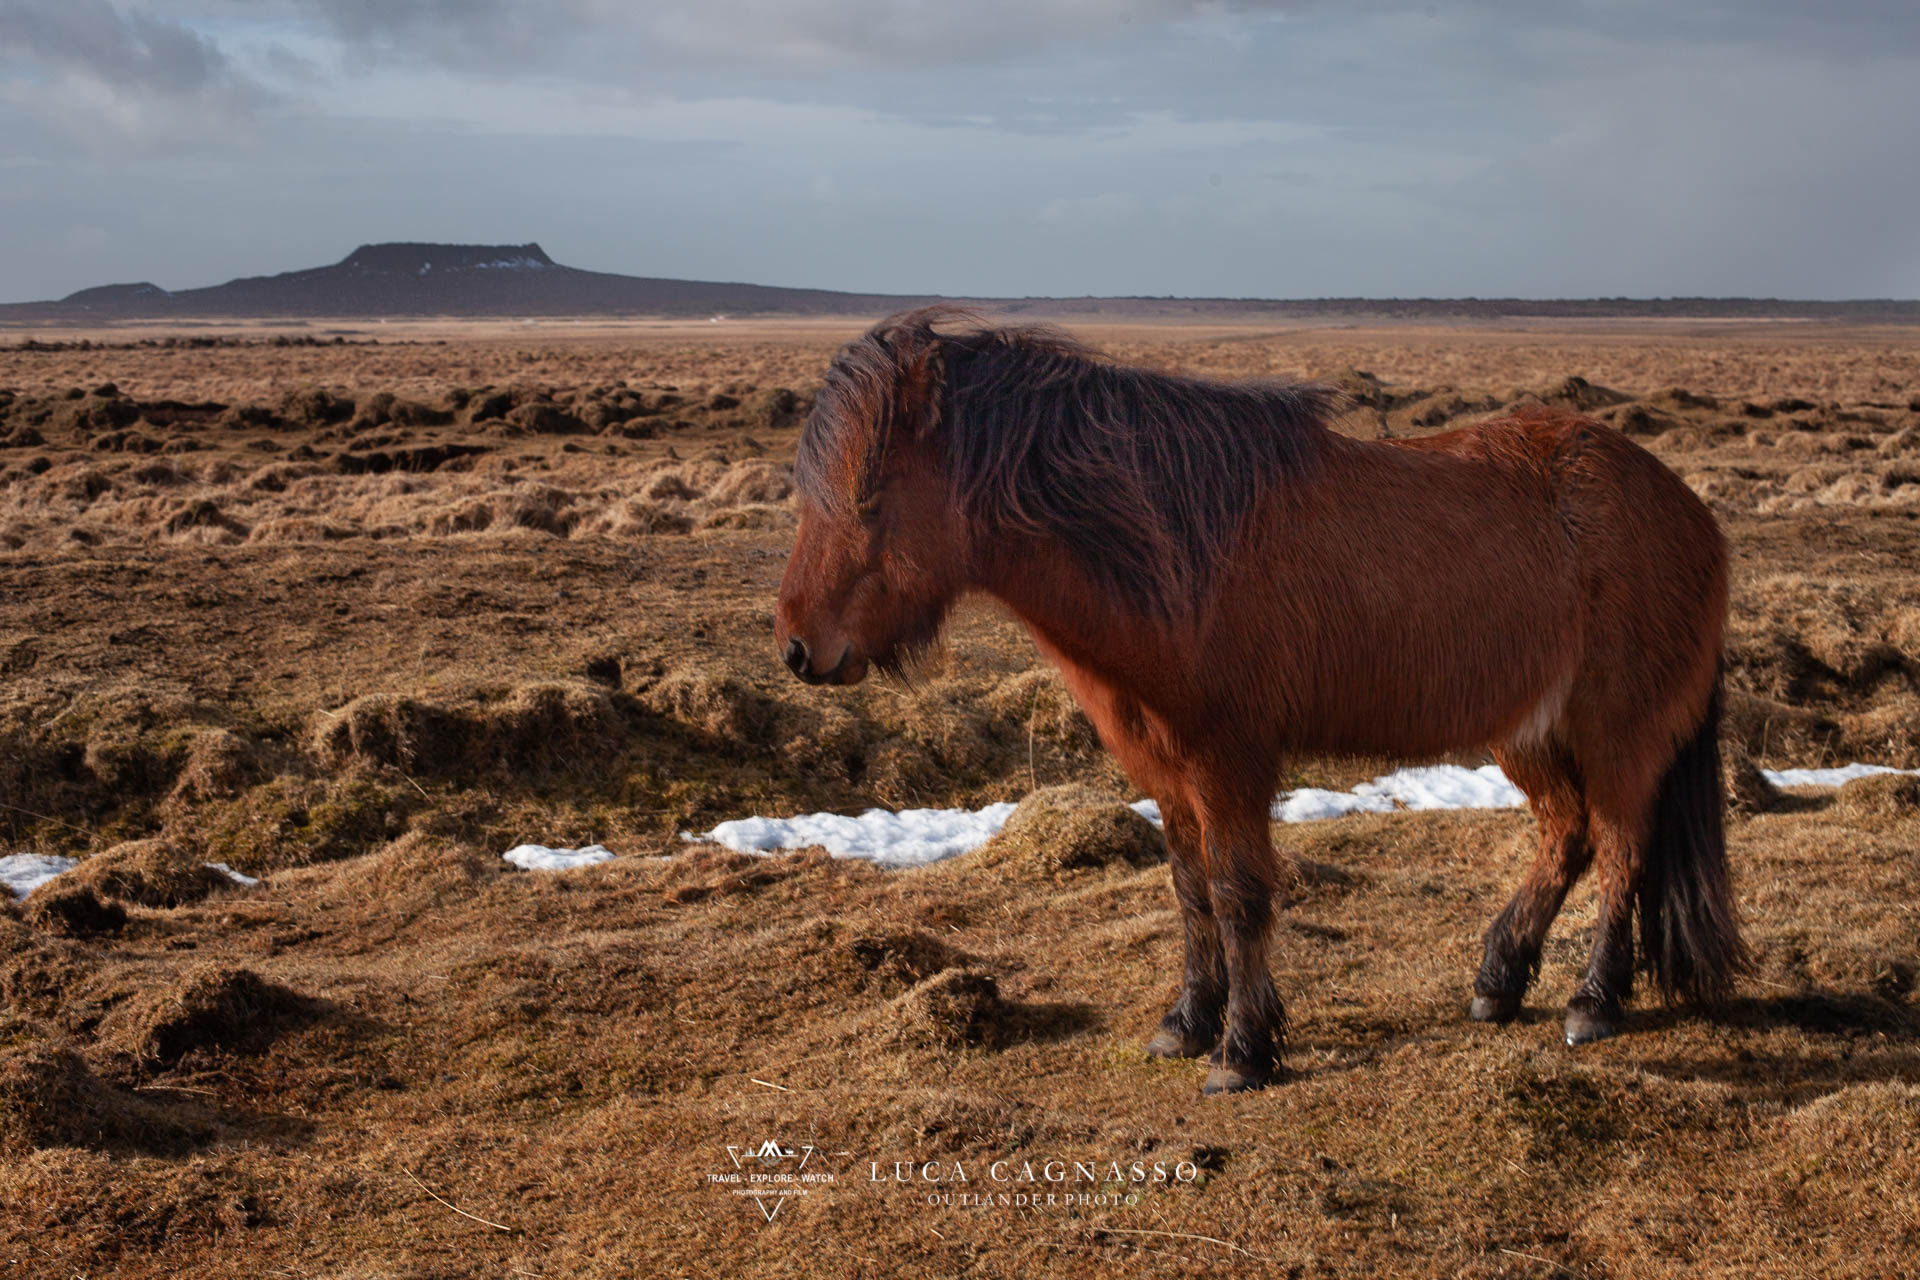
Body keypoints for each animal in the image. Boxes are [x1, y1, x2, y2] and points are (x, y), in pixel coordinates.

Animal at [773, 307, 1745, 1095]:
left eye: (867, 492)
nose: (798, 649)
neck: (1172, 552)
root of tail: (1685, 506)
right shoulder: (1165, 769)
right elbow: (1189, 891)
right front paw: (1185, 1023)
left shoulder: (1228, 760)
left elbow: (1240, 895)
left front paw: (1242, 1051)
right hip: (1528, 732)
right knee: (1569, 835)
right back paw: (1498, 982)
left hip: (1616, 732)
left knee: (1622, 847)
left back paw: (1594, 1001)